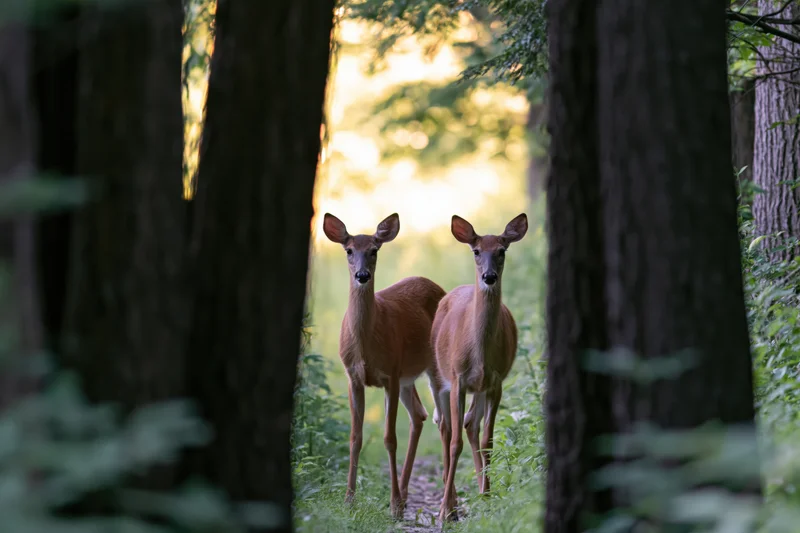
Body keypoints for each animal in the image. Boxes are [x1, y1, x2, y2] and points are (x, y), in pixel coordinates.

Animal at [322, 212, 447, 520]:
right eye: (348, 250)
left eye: (374, 250)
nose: (362, 275)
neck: (366, 345)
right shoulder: (354, 377)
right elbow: (355, 437)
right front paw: (349, 501)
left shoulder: (389, 374)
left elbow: (390, 438)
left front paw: (392, 505)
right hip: (407, 377)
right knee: (419, 415)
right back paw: (405, 495)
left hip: (431, 368)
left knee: (441, 421)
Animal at [430, 213, 528, 522]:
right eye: (475, 251)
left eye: (502, 250)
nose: (489, 277)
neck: (480, 352)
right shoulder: (458, 379)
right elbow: (454, 443)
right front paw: (445, 510)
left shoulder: (495, 382)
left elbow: (488, 439)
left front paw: (488, 497)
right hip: (438, 377)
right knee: (446, 427)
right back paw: (450, 504)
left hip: (481, 388)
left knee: (470, 424)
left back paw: (479, 493)